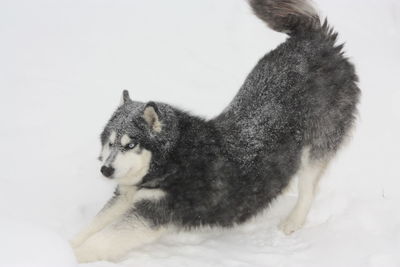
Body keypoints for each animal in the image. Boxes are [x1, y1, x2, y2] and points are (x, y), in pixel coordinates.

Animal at [71, 0, 360, 264]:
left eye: (131, 145)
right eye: (110, 143)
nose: (105, 170)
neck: (172, 159)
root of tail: (316, 41)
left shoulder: (154, 212)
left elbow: (101, 241)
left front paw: (72, 255)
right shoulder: (125, 196)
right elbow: (92, 227)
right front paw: (67, 243)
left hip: (319, 144)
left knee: (308, 188)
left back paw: (293, 221)